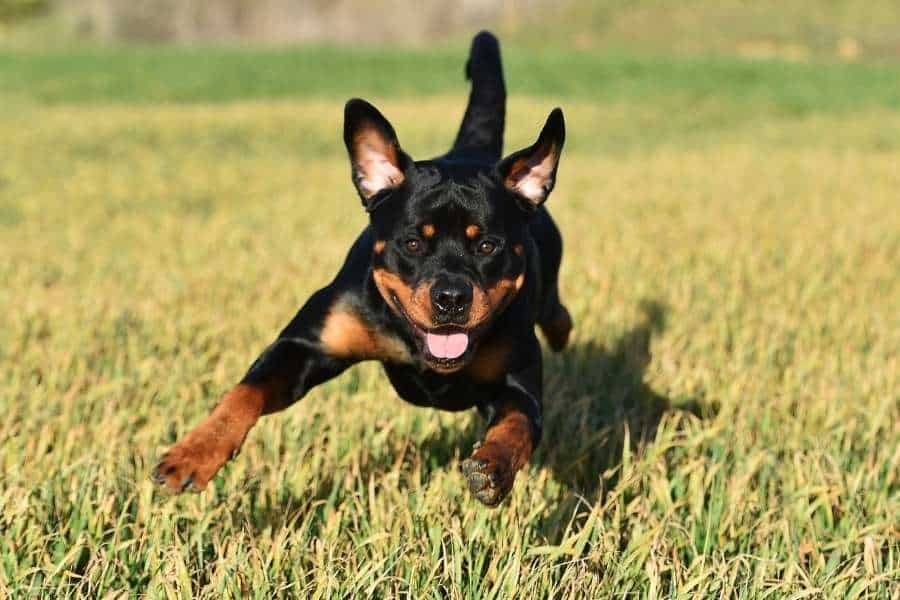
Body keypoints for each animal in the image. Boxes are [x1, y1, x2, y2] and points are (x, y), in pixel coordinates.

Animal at [149, 31, 568, 506]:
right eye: (412, 242)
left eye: (487, 245)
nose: (451, 298)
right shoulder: (306, 345)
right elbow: (245, 393)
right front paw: (194, 453)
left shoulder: (518, 382)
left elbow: (518, 424)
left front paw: (492, 466)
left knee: (556, 313)